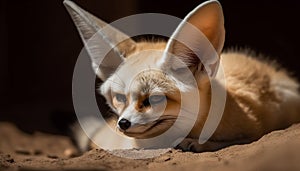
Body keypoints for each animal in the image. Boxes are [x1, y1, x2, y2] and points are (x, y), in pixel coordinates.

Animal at [63, 0, 300, 152]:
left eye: (154, 99)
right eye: (120, 98)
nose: (123, 123)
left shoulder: (257, 124)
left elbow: (241, 139)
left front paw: (198, 143)